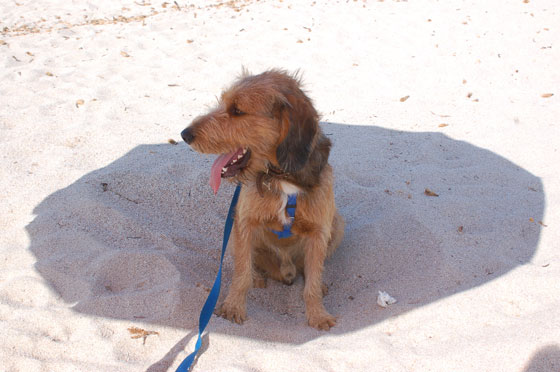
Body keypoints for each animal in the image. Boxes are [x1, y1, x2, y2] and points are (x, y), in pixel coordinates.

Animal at [182, 68, 344, 330]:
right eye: (223, 102)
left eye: (237, 110)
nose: (185, 134)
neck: (281, 175)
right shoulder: (245, 222)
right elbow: (241, 273)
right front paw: (233, 307)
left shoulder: (319, 231)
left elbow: (311, 284)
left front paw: (318, 315)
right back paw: (258, 276)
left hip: (337, 225)